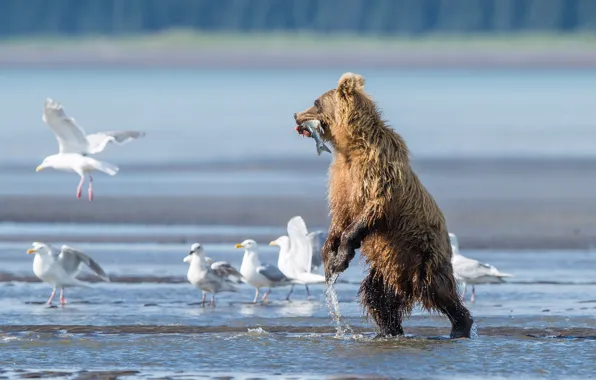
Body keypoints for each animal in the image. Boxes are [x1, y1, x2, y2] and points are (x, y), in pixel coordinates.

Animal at [294, 71, 474, 338]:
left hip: (424, 254)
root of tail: (405, 282)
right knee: (377, 296)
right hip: (388, 265)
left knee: (438, 290)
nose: (295, 115)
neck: (351, 147)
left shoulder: (378, 172)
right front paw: (329, 254)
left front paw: (340, 258)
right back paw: (388, 330)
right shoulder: (341, 180)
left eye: (316, 102)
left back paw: (460, 325)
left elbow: (370, 211)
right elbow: (340, 215)